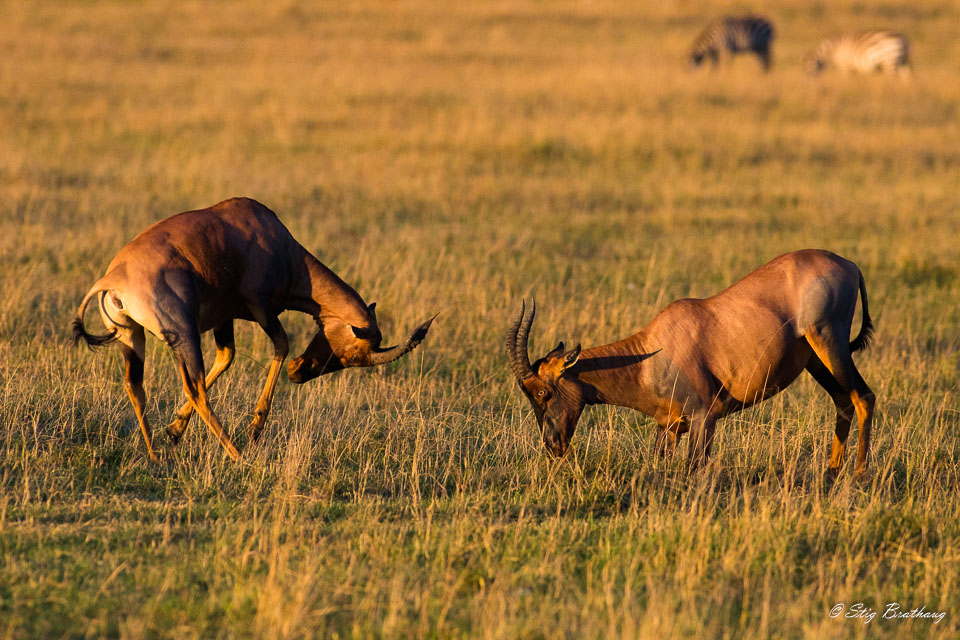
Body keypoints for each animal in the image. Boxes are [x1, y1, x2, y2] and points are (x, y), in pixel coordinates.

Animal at [73, 196, 436, 460]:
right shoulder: (260, 306)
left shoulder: (224, 318)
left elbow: (227, 357)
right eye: (353, 354)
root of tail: (113, 279)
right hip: (183, 333)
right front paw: (255, 428)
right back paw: (237, 454)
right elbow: (281, 344)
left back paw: (155, 455)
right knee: (195, 388)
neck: (277, 240)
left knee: (135, 386)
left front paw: (174, 430)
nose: (298, 373)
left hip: (131, 337)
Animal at [510, 250, 876, 476]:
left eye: (543, 392)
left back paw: (859, 475)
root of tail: (850, 265)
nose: (553, 446)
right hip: (816, 360)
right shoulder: (669, 426)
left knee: (863, 397)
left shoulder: (705, 416)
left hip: (829, 341)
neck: (653, 352)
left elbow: (693, 470)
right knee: (843, 402)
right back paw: (831, 474)